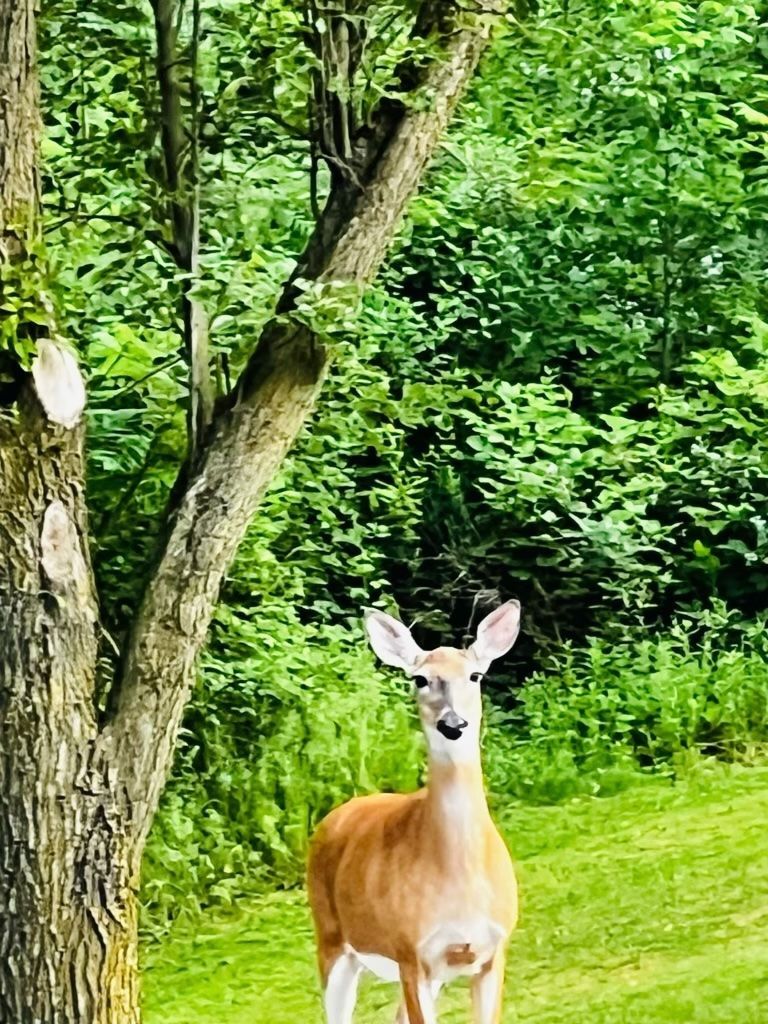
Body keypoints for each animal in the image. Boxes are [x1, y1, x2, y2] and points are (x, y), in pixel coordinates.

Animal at [307, 600, 521, 1024]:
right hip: (332, 940)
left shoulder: (493, 949)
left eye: (475, 674)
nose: (453, 722)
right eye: (420, 678)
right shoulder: (410, 951)